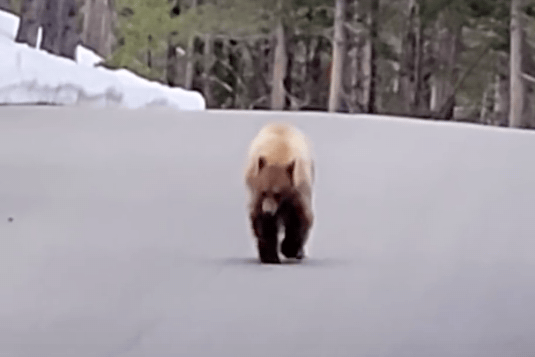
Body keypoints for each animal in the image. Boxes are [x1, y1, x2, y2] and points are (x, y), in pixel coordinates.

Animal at [245, 122, 316, 264]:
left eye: (278, 194)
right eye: (263, 192)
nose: (268, 211)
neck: (278, 159)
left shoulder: (299, 192)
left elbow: (301, 219)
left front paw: (289, 249)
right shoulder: (257, 194)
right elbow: (263, 223)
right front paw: (270, 257)